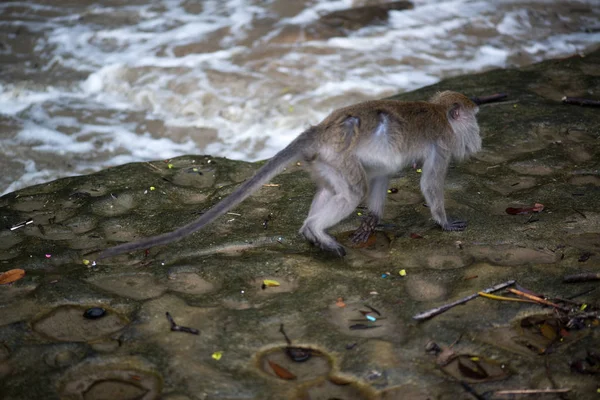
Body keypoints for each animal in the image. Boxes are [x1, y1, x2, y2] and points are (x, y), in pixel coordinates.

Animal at [99, 90, 482, 260]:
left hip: (325, 162)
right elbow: (428, 183)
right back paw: (317, 231)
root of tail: (320, 130)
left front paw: (371, 221)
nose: (479, 135)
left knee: (337, 189)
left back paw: (310, 233)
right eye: (474, 119)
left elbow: (381, 175)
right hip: (338, 157)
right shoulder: (442, 145)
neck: (439, 113)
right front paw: (444, 222)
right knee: (350, 192)